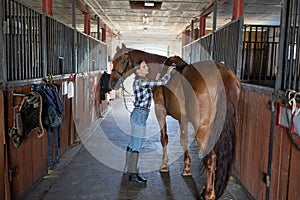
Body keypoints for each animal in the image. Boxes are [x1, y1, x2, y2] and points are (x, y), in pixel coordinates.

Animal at [109, 44, 240, 200]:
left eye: (123, 61)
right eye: (113, 60)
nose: (112, 83)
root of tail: (222, 74)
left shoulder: (160, 111)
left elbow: (164, 138)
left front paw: (164, 166)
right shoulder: (183, 118)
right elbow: (183, 140)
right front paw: (187, 169)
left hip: (203, 130)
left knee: (211, 158)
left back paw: (208, 193)